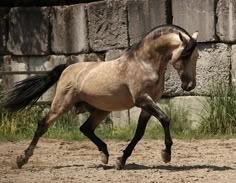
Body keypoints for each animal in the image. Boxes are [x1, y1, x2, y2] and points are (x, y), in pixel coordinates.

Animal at [2, 24, 198, 170]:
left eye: (196, 56)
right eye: (184, 55)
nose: (189, 86)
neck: (145, 63)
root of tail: (67, 68)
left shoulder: (149, 104)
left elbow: (139, 133)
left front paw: (121, 161)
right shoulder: (142, 100)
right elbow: (165, 119)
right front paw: (166, 154)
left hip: (102, 110)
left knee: (85, 128)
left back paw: (104, 155)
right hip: (62, 104)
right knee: (43, 125)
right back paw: (21, 159)